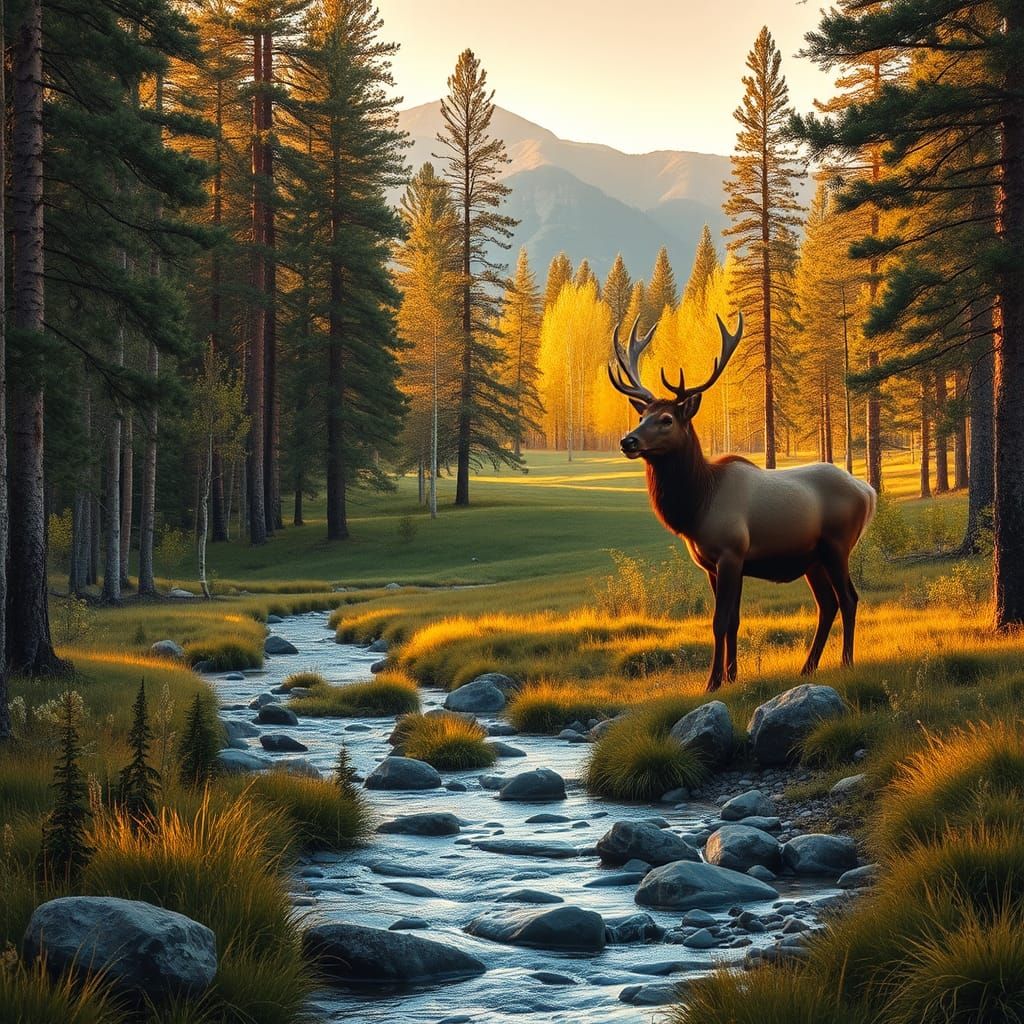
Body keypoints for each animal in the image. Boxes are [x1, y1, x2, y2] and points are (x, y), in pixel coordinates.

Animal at [609, 315, 877, 692]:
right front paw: (732, 676)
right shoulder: (711, 563)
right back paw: (807, 667)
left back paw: (846, 662)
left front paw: (712, 682)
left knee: (849, 599)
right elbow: (732, 619)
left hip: (837, 545)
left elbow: (720, 620)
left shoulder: (731, 552)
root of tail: (868, 492)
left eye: (667, 419)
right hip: (812, 559)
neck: (697, 507)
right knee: (827, 604)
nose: (627, 441)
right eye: (641, 416)